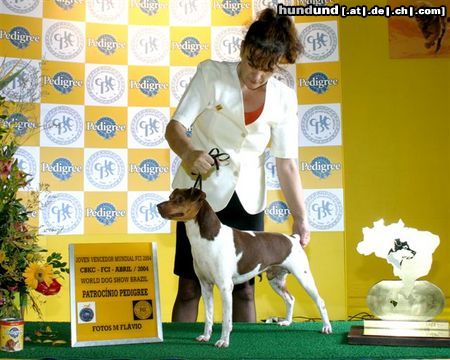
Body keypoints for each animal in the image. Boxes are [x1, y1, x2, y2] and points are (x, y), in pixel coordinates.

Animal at [157, 187, 330, 348]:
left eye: (180, 199)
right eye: (170, 197)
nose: (158, 206)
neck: (207, 238)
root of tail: (294, 238)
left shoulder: (225, 287)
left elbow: (226, 320)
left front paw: (223, 341)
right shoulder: (205, 285)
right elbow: (208, 316)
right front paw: (206, 336)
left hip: (304, 276)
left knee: (320, 301)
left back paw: (326, 327)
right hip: (276, 280)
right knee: (290, 299)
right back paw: (286, 321)